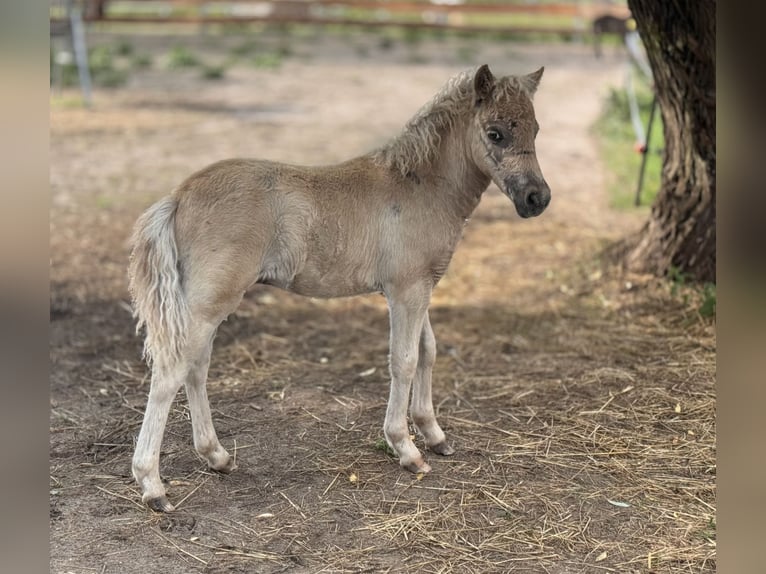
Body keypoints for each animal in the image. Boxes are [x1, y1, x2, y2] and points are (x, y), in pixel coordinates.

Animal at [128, 64, 551, 512]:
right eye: (495, 133)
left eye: (536, 129)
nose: (536, 198)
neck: (419, 185)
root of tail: (178, 197)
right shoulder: (405, 291)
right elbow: (403, 360)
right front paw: (406, 448)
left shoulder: (421, 286)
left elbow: (428, 351)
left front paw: (434, 435)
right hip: (208, 303)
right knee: (172, 371)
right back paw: (153, 486)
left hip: (206, 306)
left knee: (196, 367)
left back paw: (217, 456)